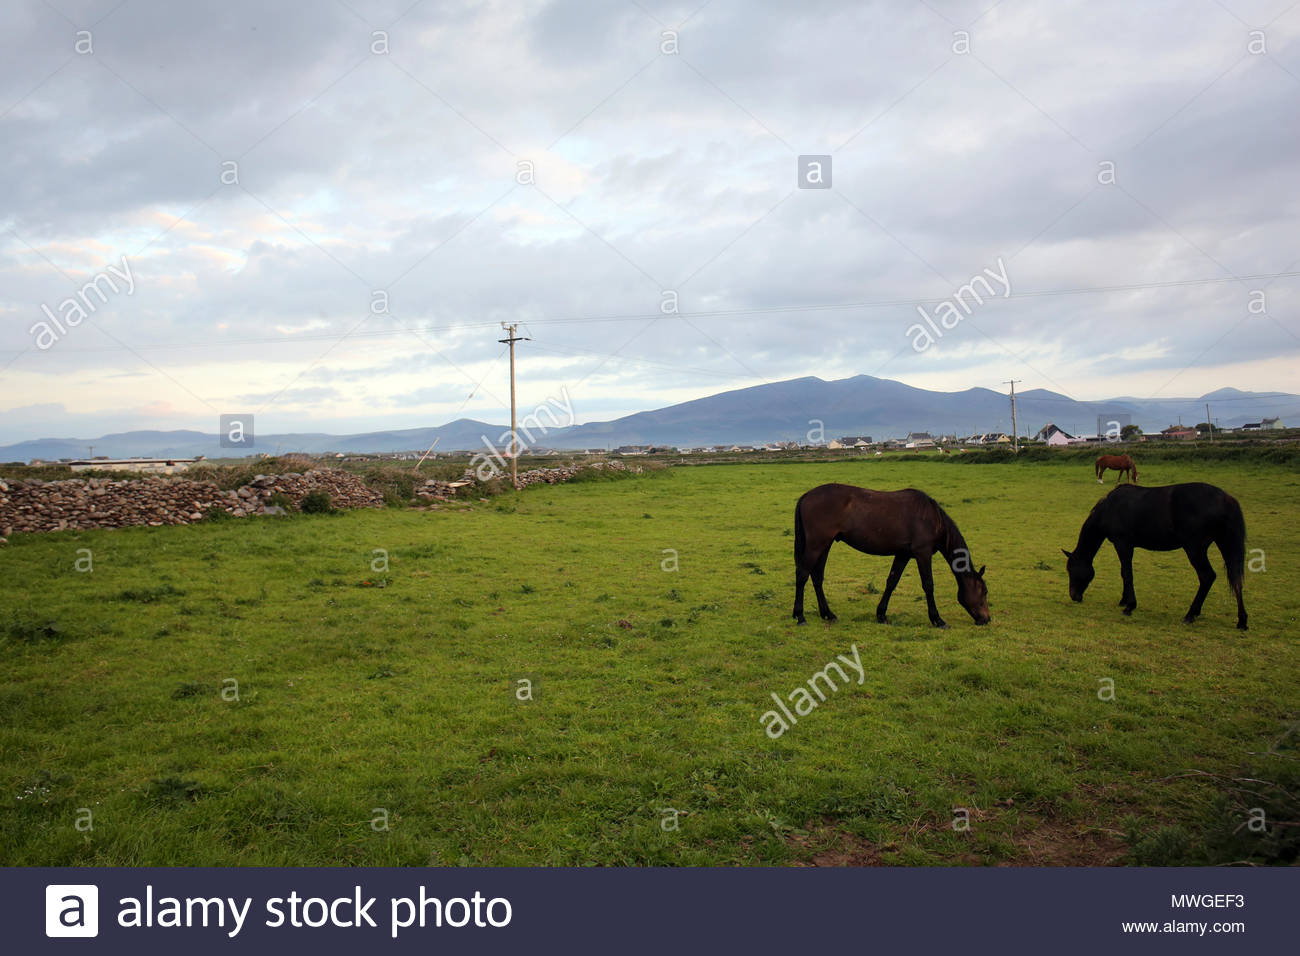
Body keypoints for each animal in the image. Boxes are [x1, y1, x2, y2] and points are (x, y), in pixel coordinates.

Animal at [793, 483, 990, 628]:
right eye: (984, 592)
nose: (986, 619)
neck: (932, 518)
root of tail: (806, 496)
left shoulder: (903, 554)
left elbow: (892, 582)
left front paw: (881, 614)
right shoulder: (923, 553)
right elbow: (928, 585)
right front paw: (937, 619)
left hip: (825, 545)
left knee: (817, 577)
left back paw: (827, 614)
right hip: (816, 545)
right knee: (802, 575)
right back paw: (800, 616)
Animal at [1062, 482, 1247, 629]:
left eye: (1071, 570)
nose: (1073, 596)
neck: (1109, 508)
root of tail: (1226, 499)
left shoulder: (1123, 544)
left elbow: (1127, 573)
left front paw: (1130, 606)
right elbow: (1124, 573)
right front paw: (1124, 600)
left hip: (1195, 548)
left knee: (1207, 576)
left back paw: (1190, 614)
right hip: (1224, 544)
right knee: (1236, 579)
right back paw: (1242, 621)